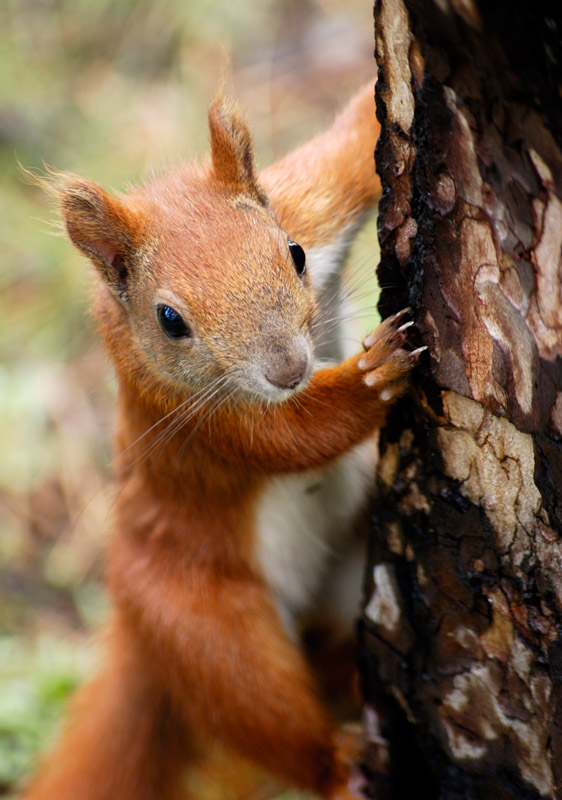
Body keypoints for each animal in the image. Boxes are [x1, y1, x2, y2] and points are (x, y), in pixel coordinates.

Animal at [25, 84, 420, 796]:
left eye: (293, 252)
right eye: (169, 320)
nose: (288, 370)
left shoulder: (312, 200)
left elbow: (349, 150)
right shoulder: (196, 418)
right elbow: (296, 436)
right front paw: (374, 374)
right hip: (203, 625)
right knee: (260, 710)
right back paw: (338, 763)